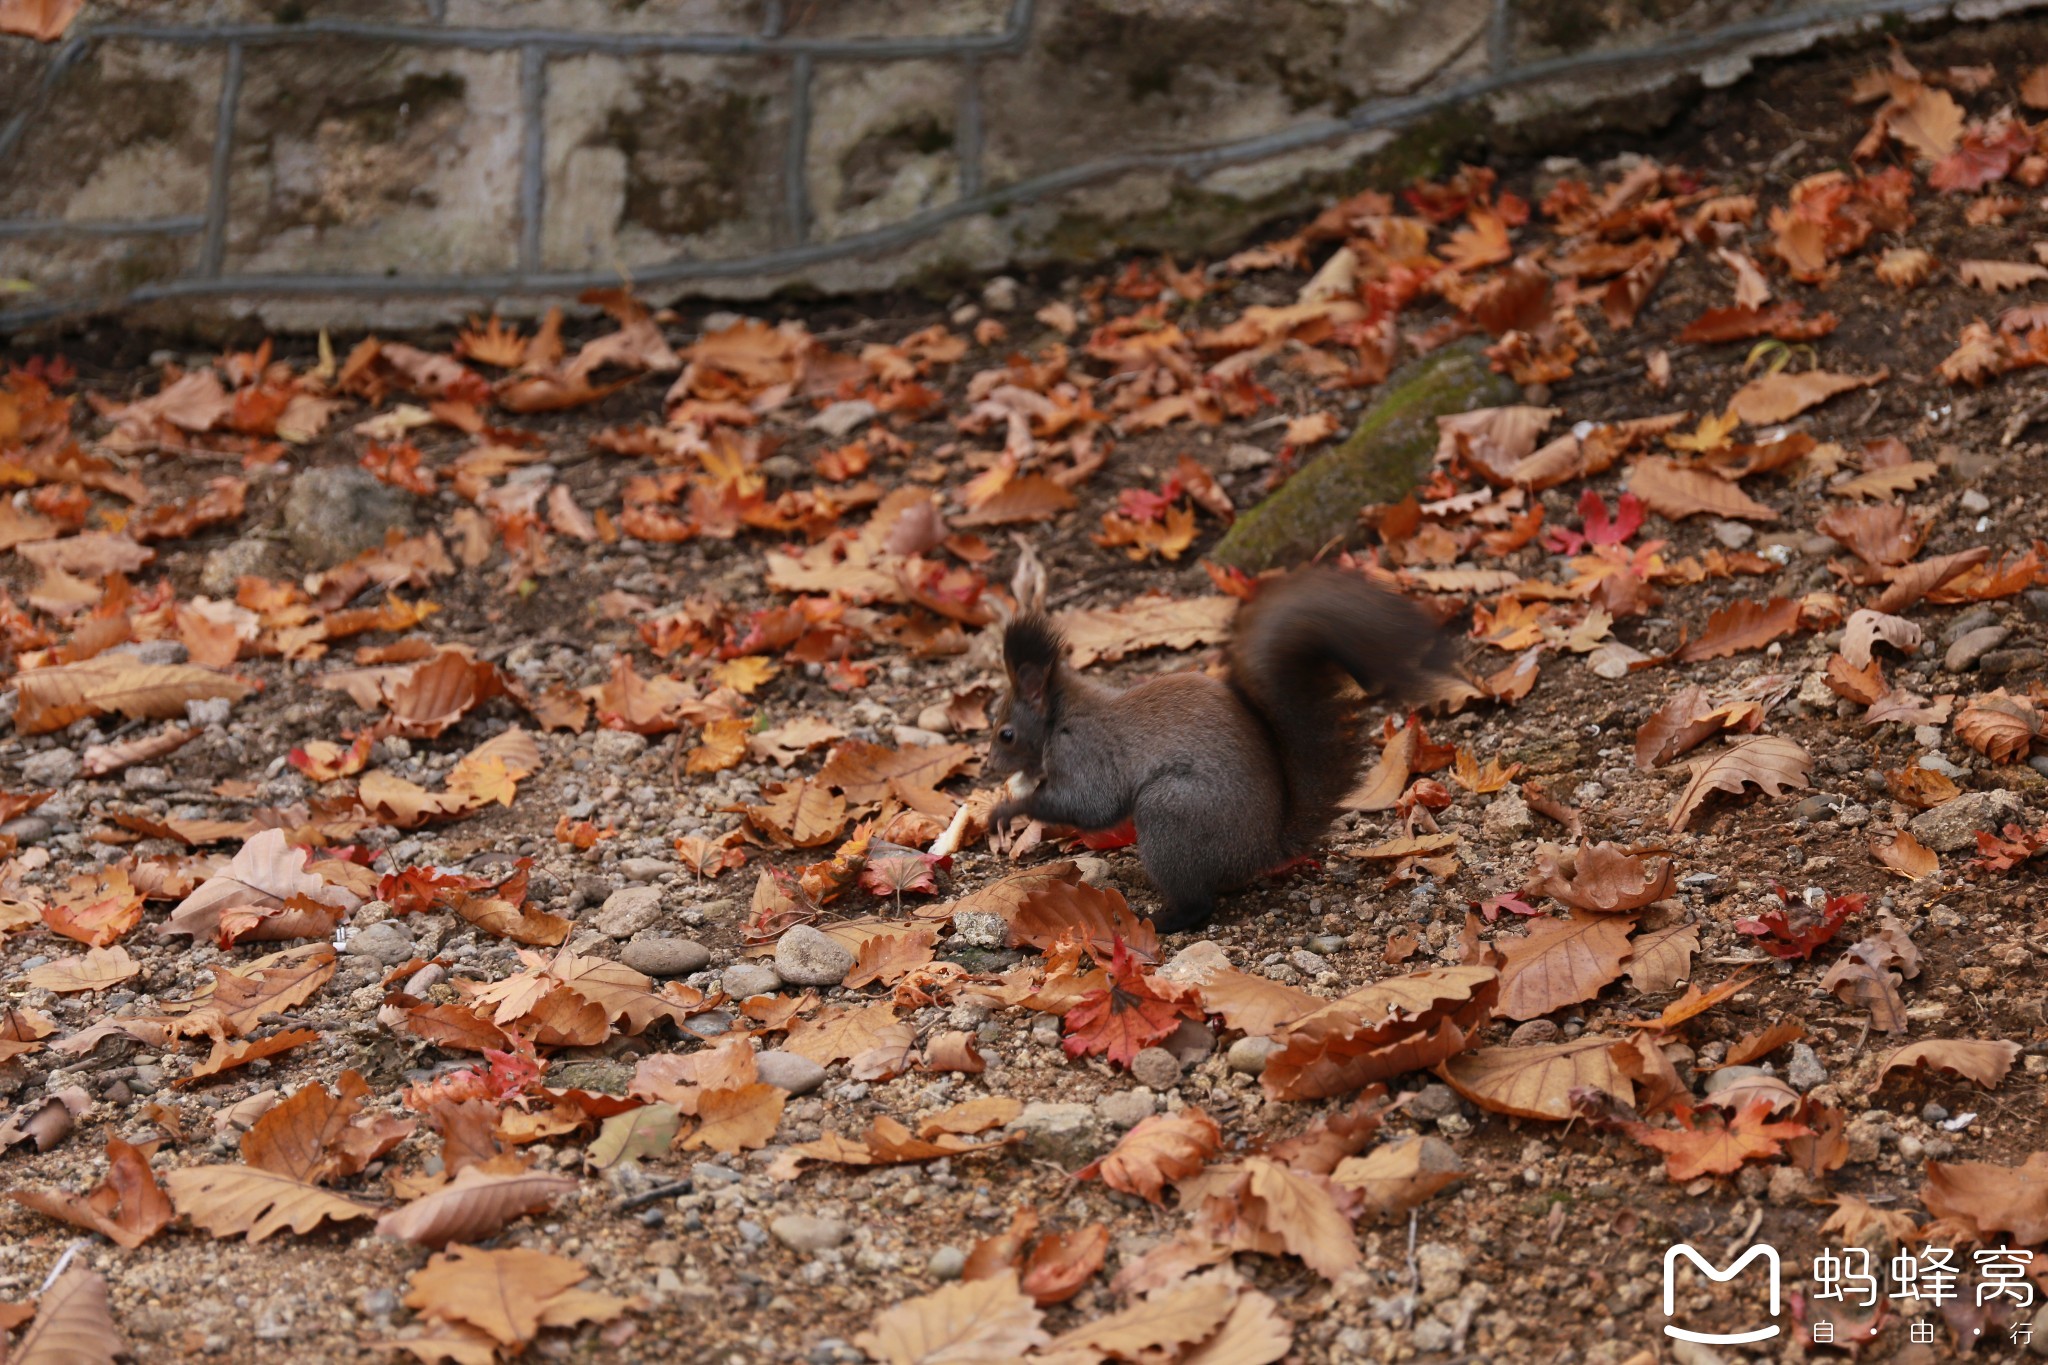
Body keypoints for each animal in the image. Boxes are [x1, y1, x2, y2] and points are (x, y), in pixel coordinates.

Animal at [983, 568, 1449, 941]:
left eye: (1006, 734)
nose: (989, 766)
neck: (1059, 715)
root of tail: (1265, 849)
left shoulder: (1084, 752)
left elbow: (1091, 805)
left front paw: (1006, 810)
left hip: (1171, 813)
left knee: (1199, 902)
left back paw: (1162, 918)